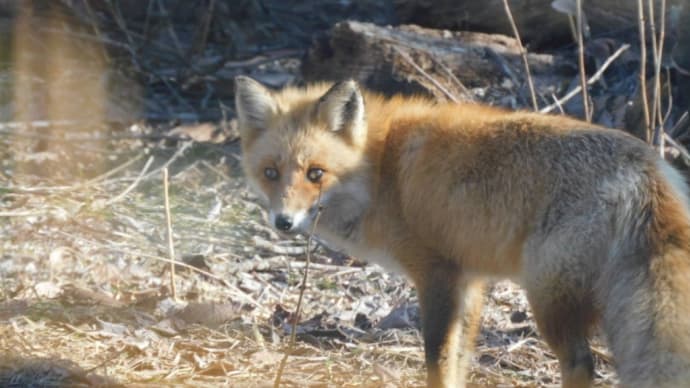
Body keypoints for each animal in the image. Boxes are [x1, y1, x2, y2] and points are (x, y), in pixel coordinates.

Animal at [234, 76, 688, 388]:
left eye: (316, 173)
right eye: (271, 173)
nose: (283, 222)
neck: (379, 169)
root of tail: (644, 166)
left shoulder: (437, 274)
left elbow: (436, 357)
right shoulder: (470, 281)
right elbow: (459, 361)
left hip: (547, 298)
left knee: (581, 365)